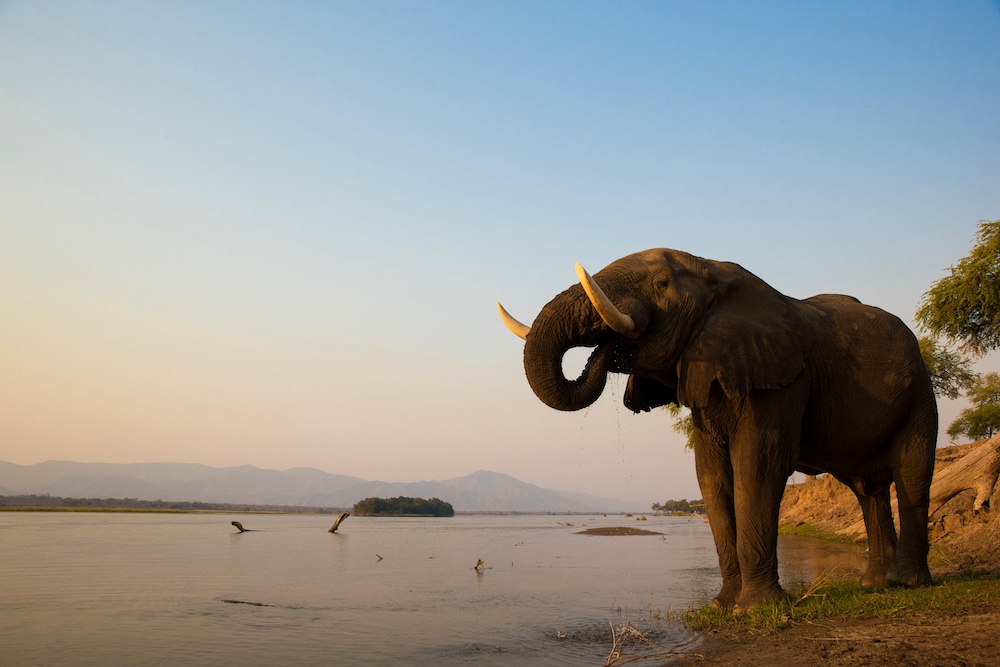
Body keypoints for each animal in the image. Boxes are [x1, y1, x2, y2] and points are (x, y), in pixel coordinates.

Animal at [500, 249, 936, 612]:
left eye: (661, 283)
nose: (610, 348)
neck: (714, 272)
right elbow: (711, 476)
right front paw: (724, 606)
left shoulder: (783, 379)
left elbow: (757, 466)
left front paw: (755, 609)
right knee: (867, 489)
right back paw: (874, 585)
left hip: (920, 391)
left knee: (912, 473)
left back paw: (906, 583)